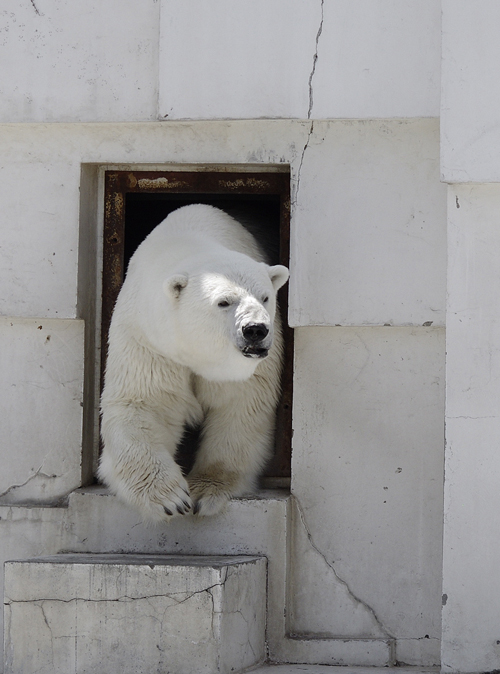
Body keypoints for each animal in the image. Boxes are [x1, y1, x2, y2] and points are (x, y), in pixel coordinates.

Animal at [99, 203, 290, 520]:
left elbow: (239, 407)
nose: (255, 330)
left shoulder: (246, 367)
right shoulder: (148, 340)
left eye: (265, 297)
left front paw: (206, 491)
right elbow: (145, 404)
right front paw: (170, 499)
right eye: (224, 301)